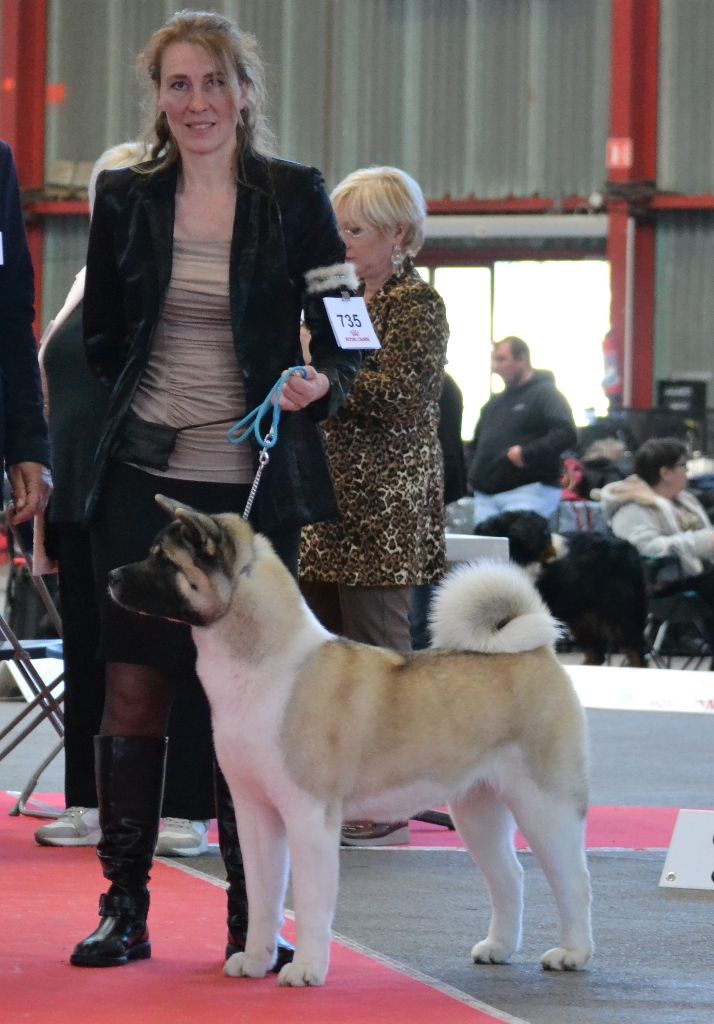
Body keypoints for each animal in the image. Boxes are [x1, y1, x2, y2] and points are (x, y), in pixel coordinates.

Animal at [108, 495, 593, 987]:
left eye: (164, 559)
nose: (110, 577)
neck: (265, 665)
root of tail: (535, 650)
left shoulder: (308, 817)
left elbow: (309, 901)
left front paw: (306, 968)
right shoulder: (254, 813)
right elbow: (262, 895)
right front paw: (257, 959)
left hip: (545, 806)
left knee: (574, 881)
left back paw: (572, 953)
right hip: (477, 811)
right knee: (510, 876)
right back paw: (499, 947)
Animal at [473, 510, 649, 667]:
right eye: (545, 536)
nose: (564, 546)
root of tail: (630, 547)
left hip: (621, 612)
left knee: (636, 650)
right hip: (582, 617)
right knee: (596, 653)